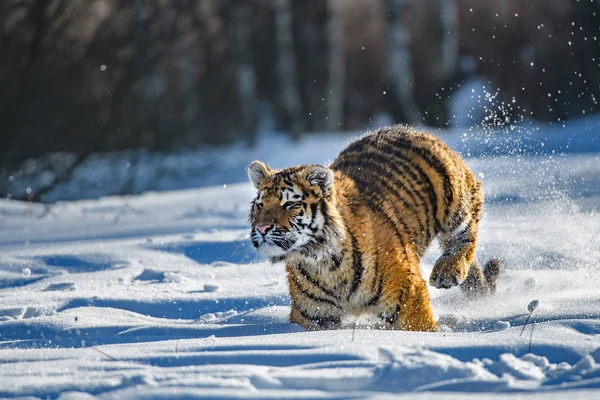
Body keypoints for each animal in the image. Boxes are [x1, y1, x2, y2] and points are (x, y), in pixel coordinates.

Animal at [246, 126, 500, 332]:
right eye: (260, 205)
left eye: (289, 204)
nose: (262, 227)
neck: (323, 263)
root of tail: (411, 129)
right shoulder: (313, 317)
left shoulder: (409, 299)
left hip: (457, 201)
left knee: (465, 236)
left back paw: (446, 273)